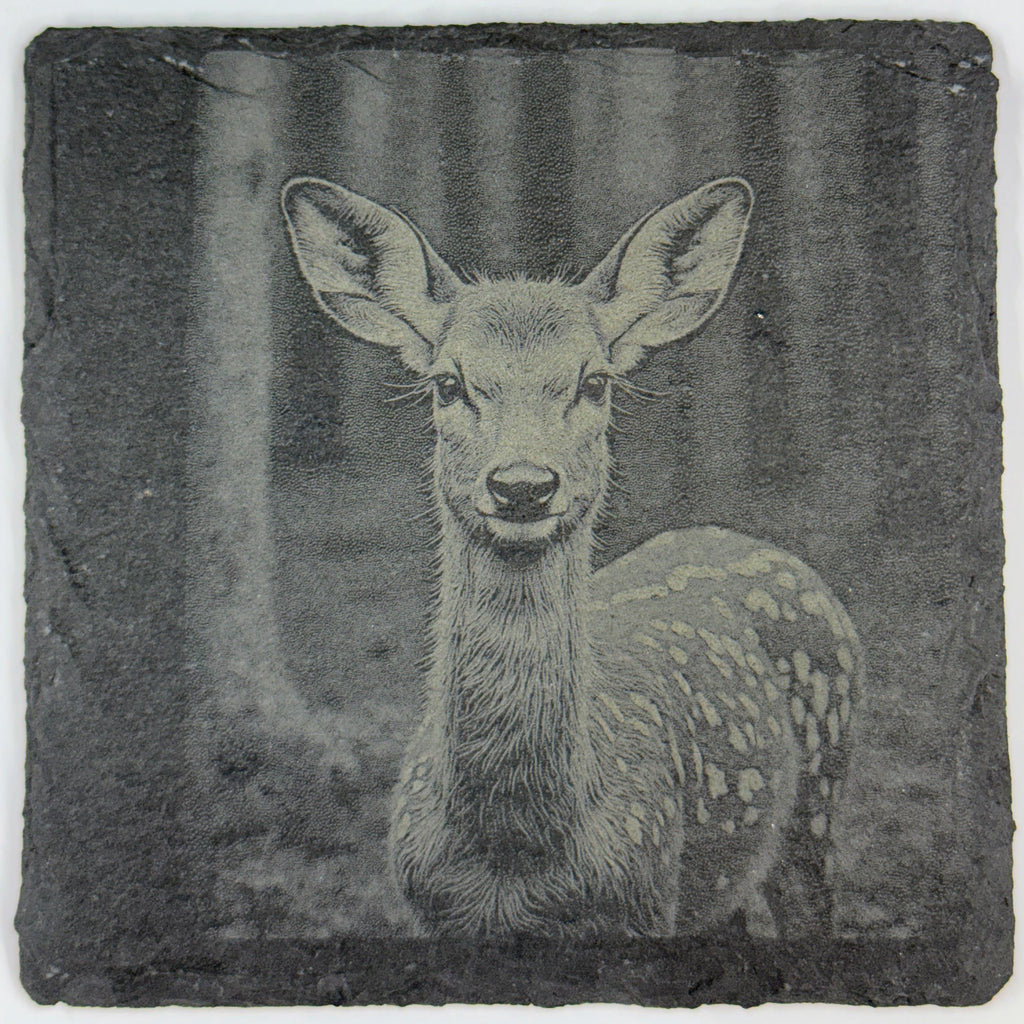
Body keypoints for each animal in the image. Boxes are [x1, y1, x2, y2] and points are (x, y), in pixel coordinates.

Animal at [282, 175, 863, 940]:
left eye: (595, 382)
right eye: (447, 383)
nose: (522, 484)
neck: (513, 854)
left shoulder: (645, 898)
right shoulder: (430, 911)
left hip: (819, 797)